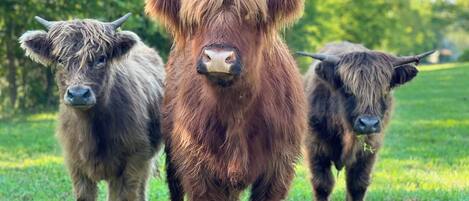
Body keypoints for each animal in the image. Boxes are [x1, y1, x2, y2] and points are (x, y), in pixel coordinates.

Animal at [19, 14, 165, 201]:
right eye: (60, 60)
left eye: (101, 58)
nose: (78, 94)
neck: (90, 128)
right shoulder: (76, 165)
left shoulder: (134, 160)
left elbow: (126, 194)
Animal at [146, 0, 308, 200]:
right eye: (197, 18)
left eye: (252, 17)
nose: (218, 58)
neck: (235, 110)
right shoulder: (196, 167)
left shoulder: (278, 168)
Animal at [298, 41, 434, 200]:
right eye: (348, 90)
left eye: (385, 91)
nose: (368, 124)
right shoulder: (315, 148)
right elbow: (322, 185)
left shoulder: (369, 151)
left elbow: (357, 185)